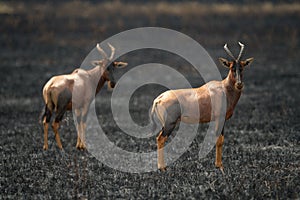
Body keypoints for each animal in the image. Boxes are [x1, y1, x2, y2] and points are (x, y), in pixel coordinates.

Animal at [150, 41, 253, 172]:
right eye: (232, 68)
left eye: (242, 67)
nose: (239, 84)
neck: (224, 88)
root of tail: (159, 98)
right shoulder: (220, 118)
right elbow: (219, 140)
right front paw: (219, 166)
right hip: (170, 123)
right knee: (160, 139)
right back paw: (162, 168)